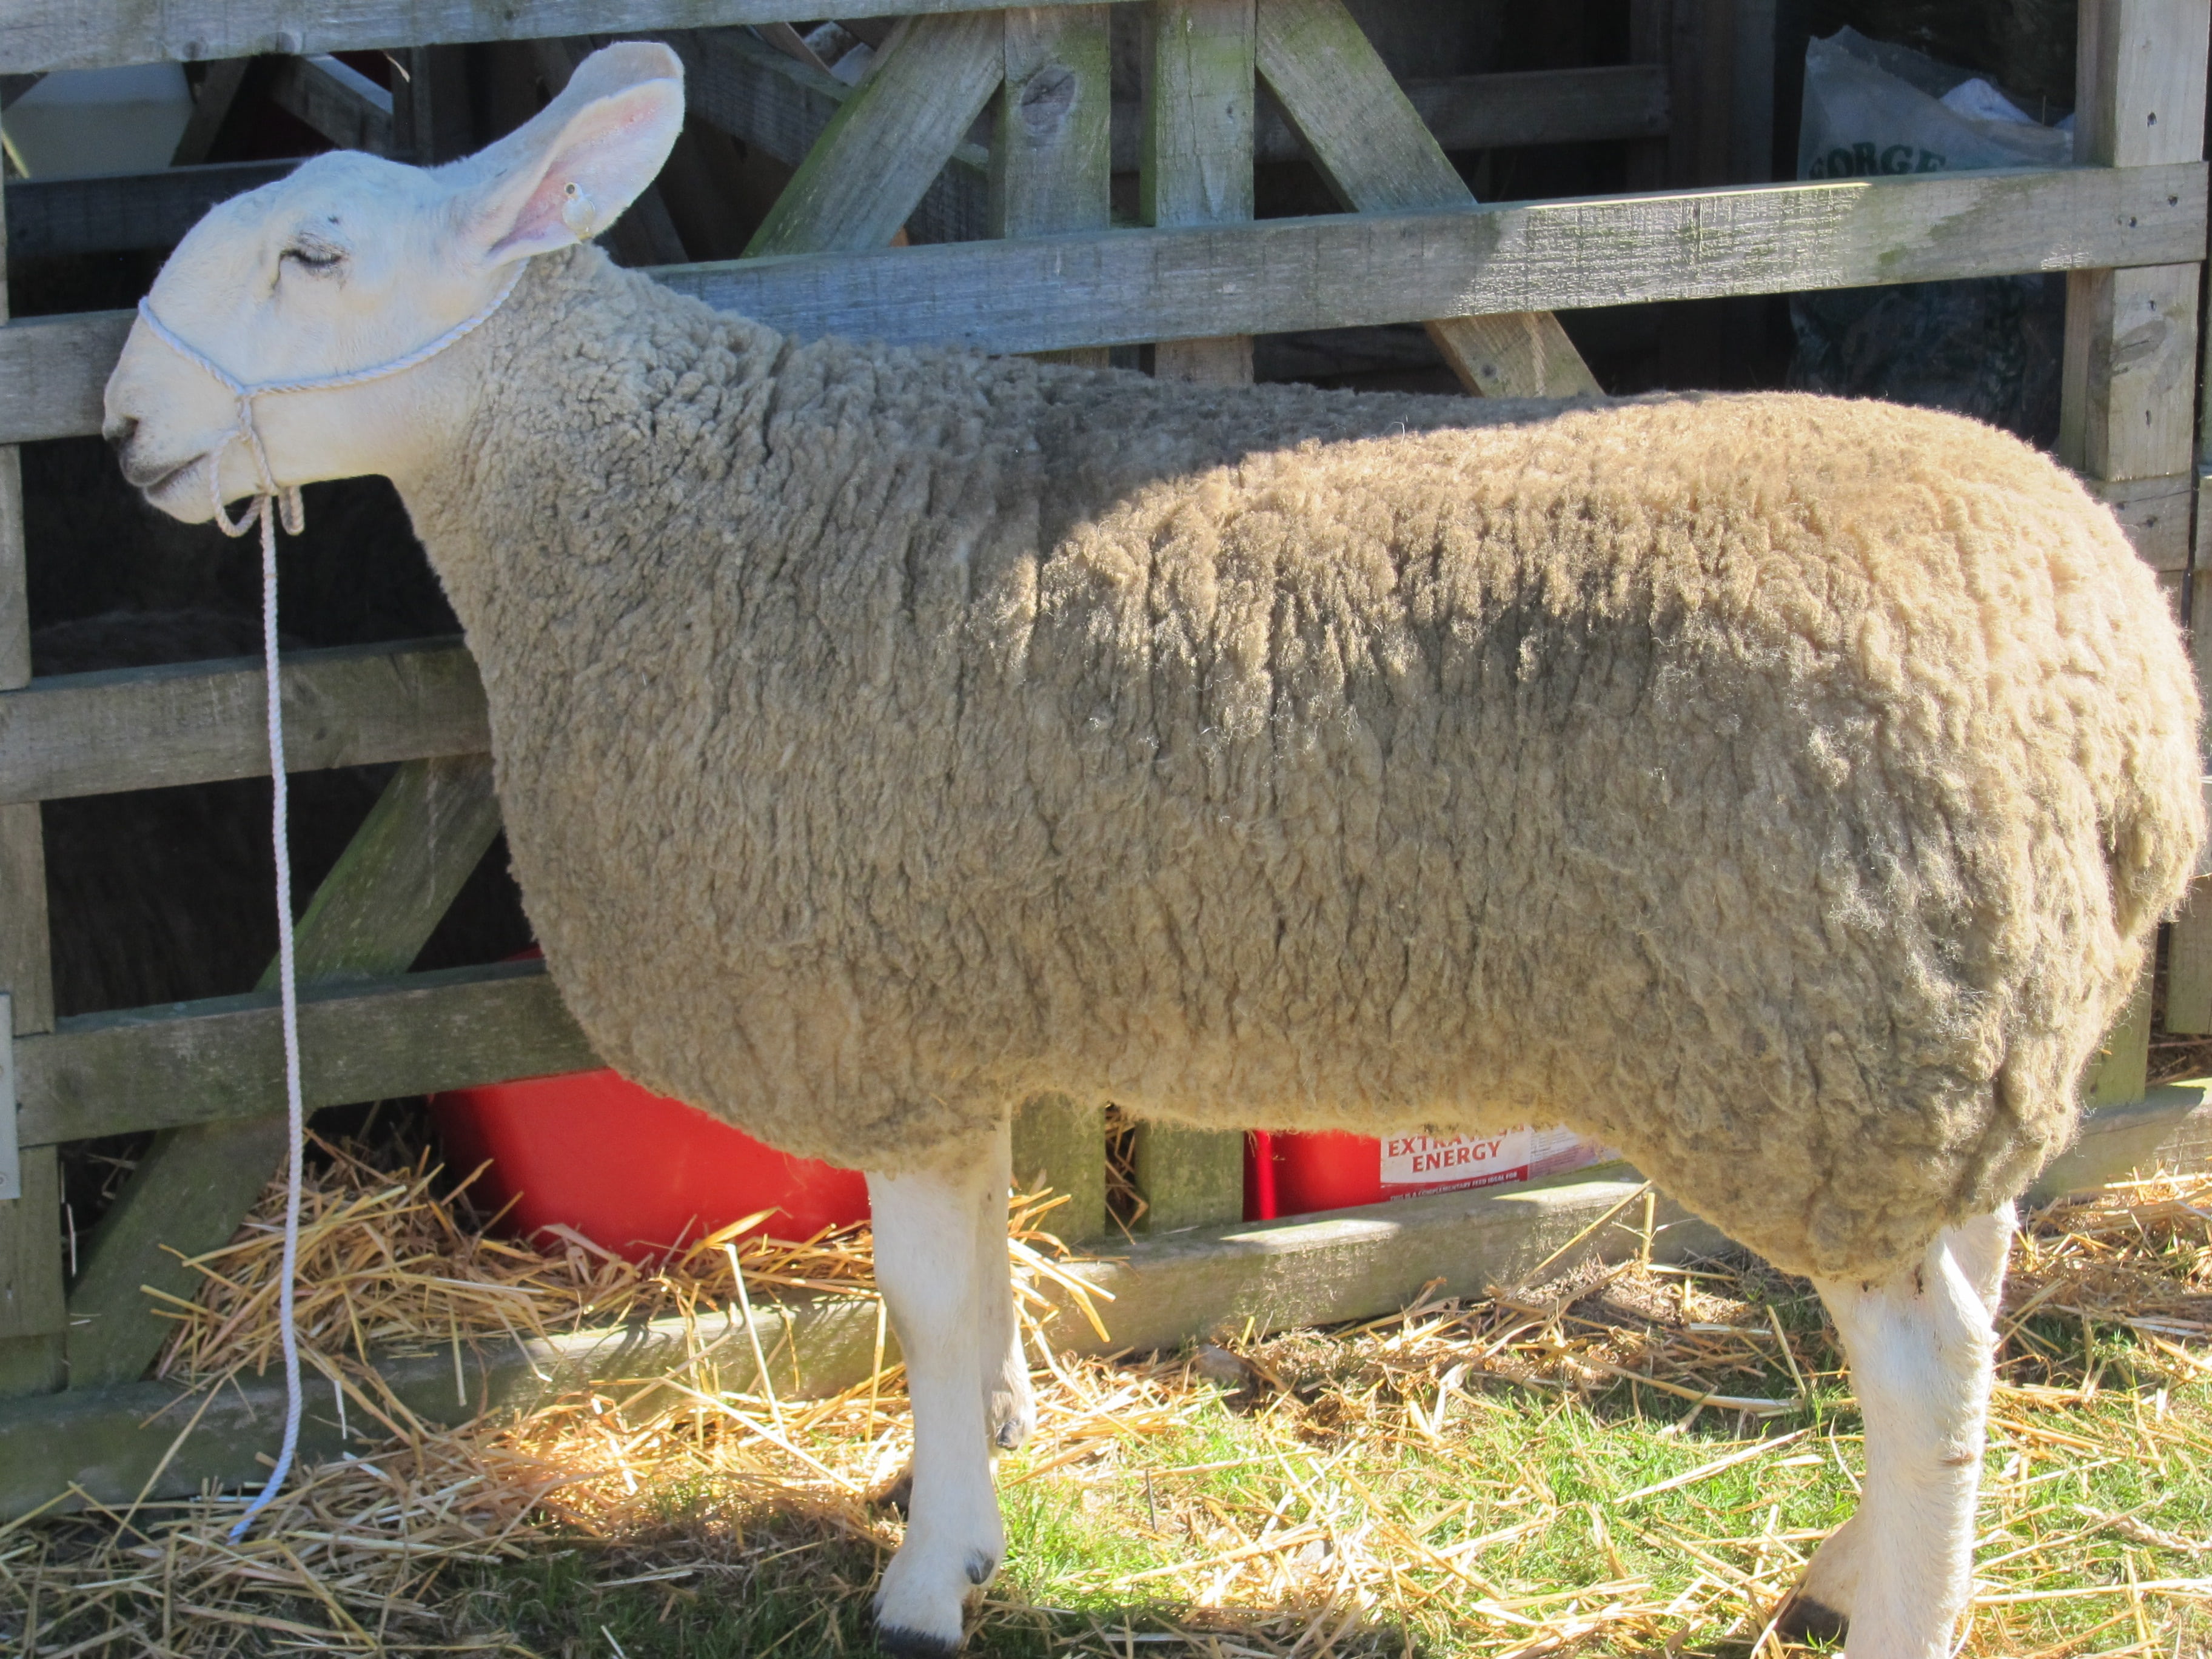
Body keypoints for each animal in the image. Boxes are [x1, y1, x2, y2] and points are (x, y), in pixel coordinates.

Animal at [100, 41, 2205, 1659]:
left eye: (313, 252)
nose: (122, 425)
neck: (644, 495)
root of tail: (2123, 677)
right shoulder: (951, 1008)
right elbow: (974, 1283)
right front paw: (966, 1480)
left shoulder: (877, 1022)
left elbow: (928, 1300)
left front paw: (929, 1574)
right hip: (1952, 1033)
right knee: (1973, 1292)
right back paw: (1854, 1566)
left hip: (1827, 1046)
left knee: (1927, 1371)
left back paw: (1896, 1609)